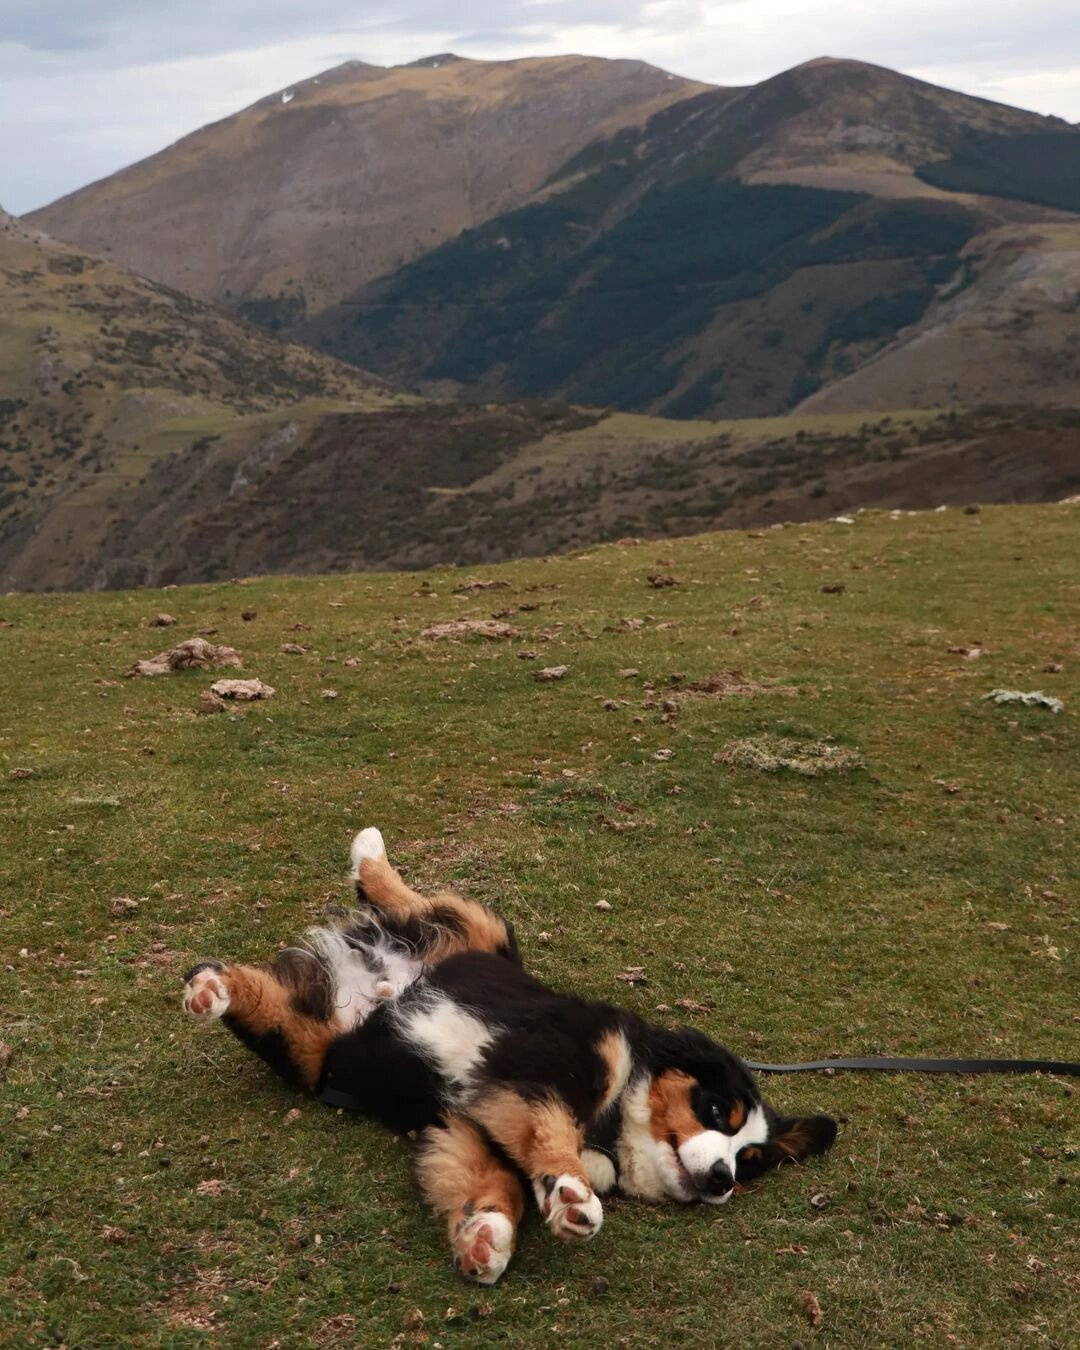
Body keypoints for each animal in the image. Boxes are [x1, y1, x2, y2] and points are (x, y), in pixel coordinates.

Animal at [183, 826, 837, 1279]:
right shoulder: (541, 1066)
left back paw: (220, 985)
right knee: (415, 898)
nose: (724, 1179)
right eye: (715, 1111)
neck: (614, 1124)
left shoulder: (466, 1120)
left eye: (751, 1160)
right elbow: (551, 1132)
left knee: (273, 1002)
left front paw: (487, 1236)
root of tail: (383, 974)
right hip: (486, 933)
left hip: (314, 1048)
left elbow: (489, 1177)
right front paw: (573, 1194)